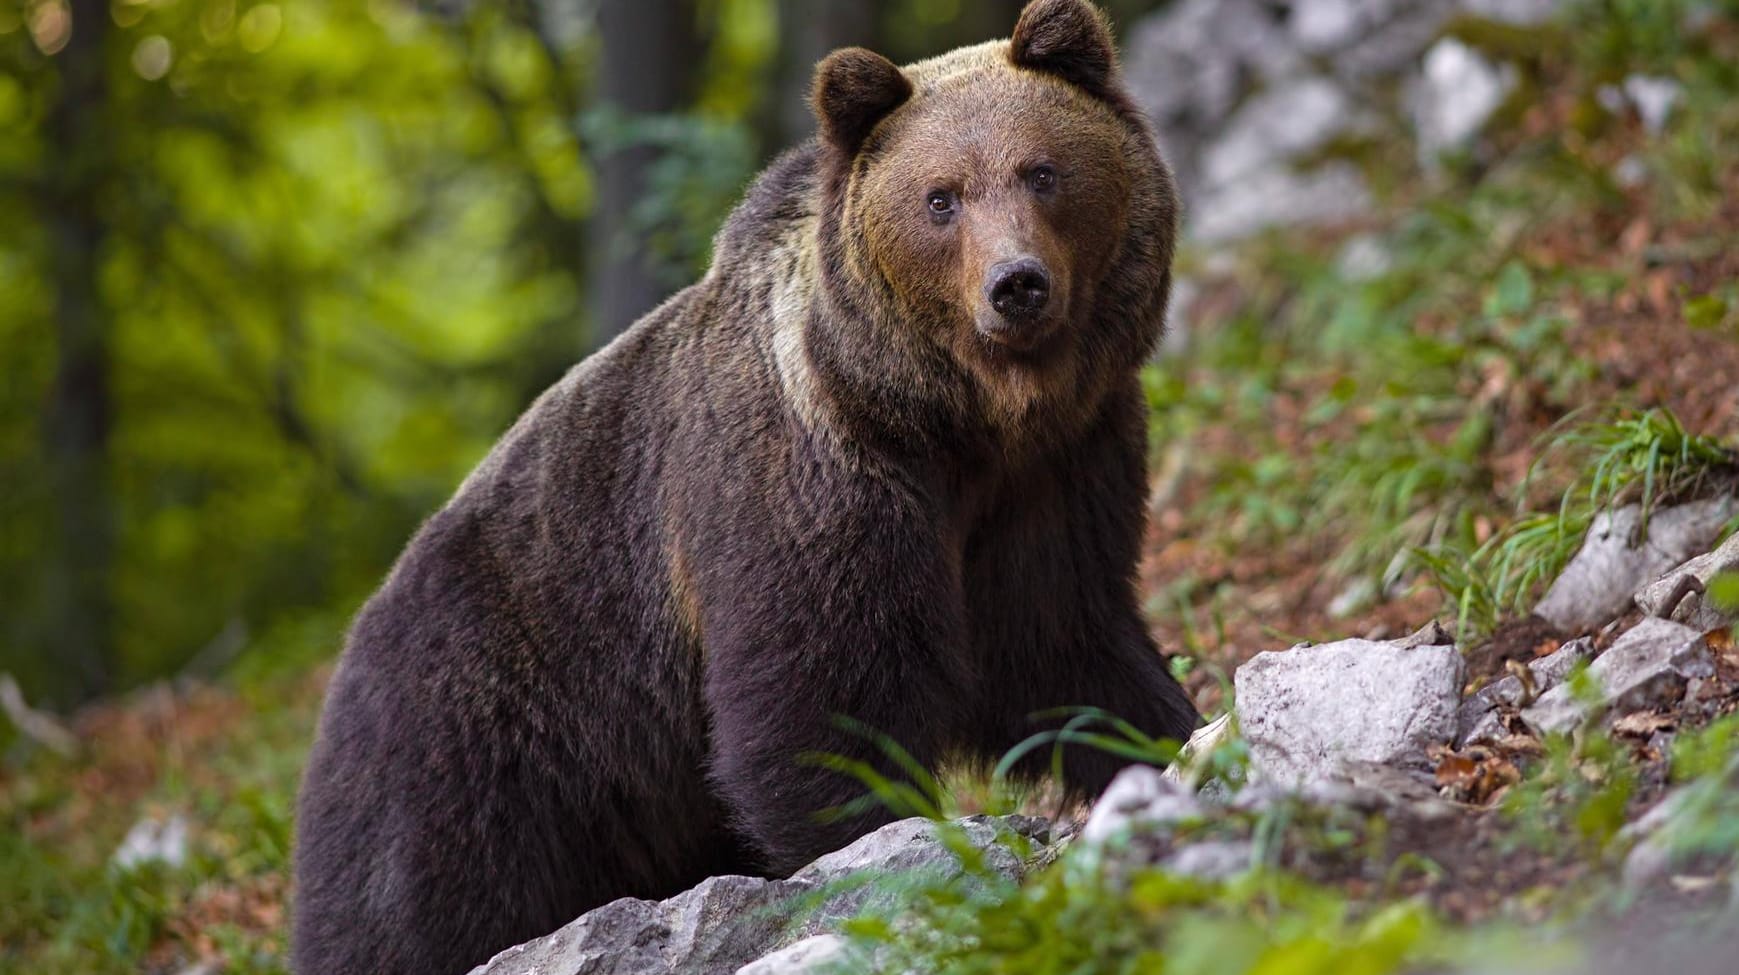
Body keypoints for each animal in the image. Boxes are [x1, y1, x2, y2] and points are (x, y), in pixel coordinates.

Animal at [292, 1, 1203, 973]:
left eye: (1042, 170)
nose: (1015, 285)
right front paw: (883, 852)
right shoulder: (809, 481)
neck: (954, 421)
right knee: (415, 905)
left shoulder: (1056, 473)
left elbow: (1061, 643)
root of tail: (344, 652)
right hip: (473, 735)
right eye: (941, 197)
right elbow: (821, 701)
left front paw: (1165, 737)